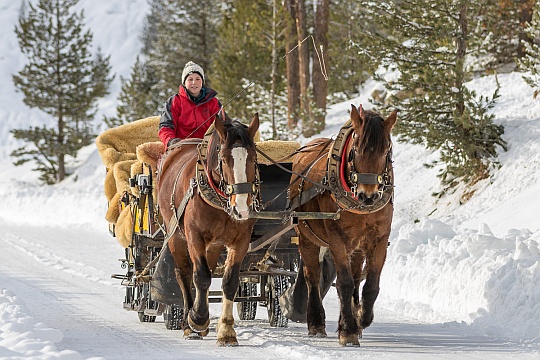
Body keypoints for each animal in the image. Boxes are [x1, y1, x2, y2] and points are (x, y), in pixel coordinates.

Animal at [156, 113, 260, 346]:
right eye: (224, 159)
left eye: (253, 158)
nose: (242, 207)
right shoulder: (194, 236)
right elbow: (201, 276)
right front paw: (197, 319)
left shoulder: (240, 240)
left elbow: (230, 282)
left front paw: (227, 330)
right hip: (176, 235)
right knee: (185, 274)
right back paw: (189, 322)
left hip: (213, 245)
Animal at [292, 104, 396, 346]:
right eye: (355, 150)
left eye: (386, 150)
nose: (368, 196)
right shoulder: (337, 239)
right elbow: (344, 284)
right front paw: (348, 330)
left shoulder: (379, 239)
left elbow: (370, 285)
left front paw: (361, 318)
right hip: (306, 236)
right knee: (312, 277)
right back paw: (316, 322)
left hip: (356, 246)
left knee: (357, 277)